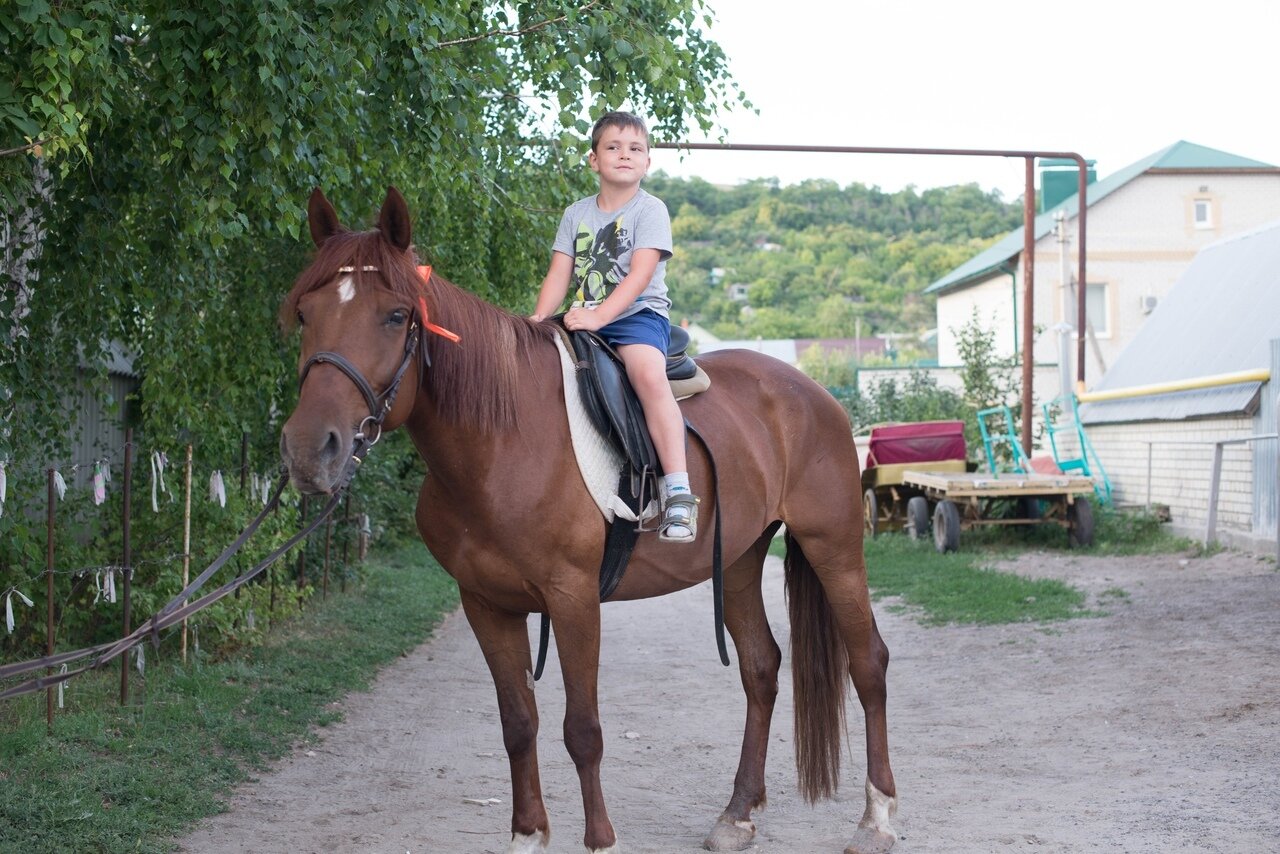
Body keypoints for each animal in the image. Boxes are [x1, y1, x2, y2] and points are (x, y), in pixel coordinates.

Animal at [280, 188, 901, 854]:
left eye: (396, 316)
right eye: (306, 313)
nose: (310, 449)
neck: (503, 442)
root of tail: (813, 393)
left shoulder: (573, 598)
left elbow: (582, 729)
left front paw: (601, 839)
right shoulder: (485, 604)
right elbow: (518, 723)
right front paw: (528, 835)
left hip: (833, 546)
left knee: (868, 664)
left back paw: (877, 818)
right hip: (739, 558)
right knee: (761, 669)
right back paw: (737, 814)